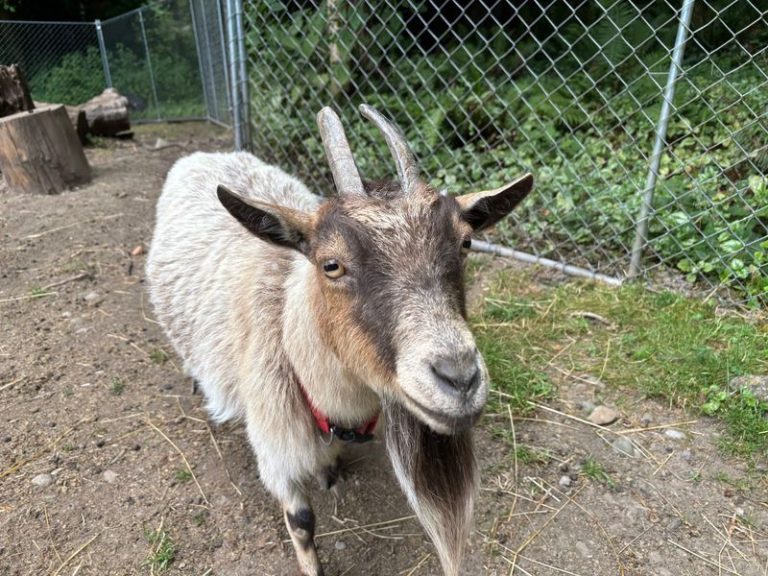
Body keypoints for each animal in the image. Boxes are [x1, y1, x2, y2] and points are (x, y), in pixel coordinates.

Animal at [145, 105, 533, 576]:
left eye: (465, 242)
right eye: (331, 264)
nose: (459, 378)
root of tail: (204, 154)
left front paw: (330, 472)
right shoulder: (275, 447)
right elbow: (301, 521)